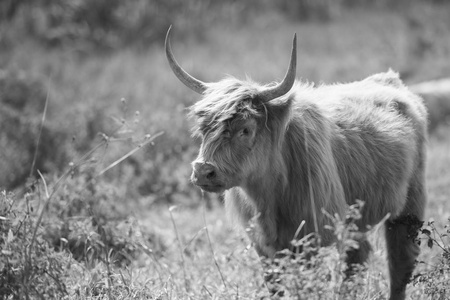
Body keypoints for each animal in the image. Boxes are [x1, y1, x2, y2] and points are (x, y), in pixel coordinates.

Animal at [165, 26, 428, 300]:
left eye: (245, 129)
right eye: (203, 129)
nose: (203, 171)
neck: (269, 195)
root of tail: (390, 80)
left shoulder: (311, 239)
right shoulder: (263, 246)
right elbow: (275, 285)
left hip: (409, 209)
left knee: (400, 263)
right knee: (358, 256)